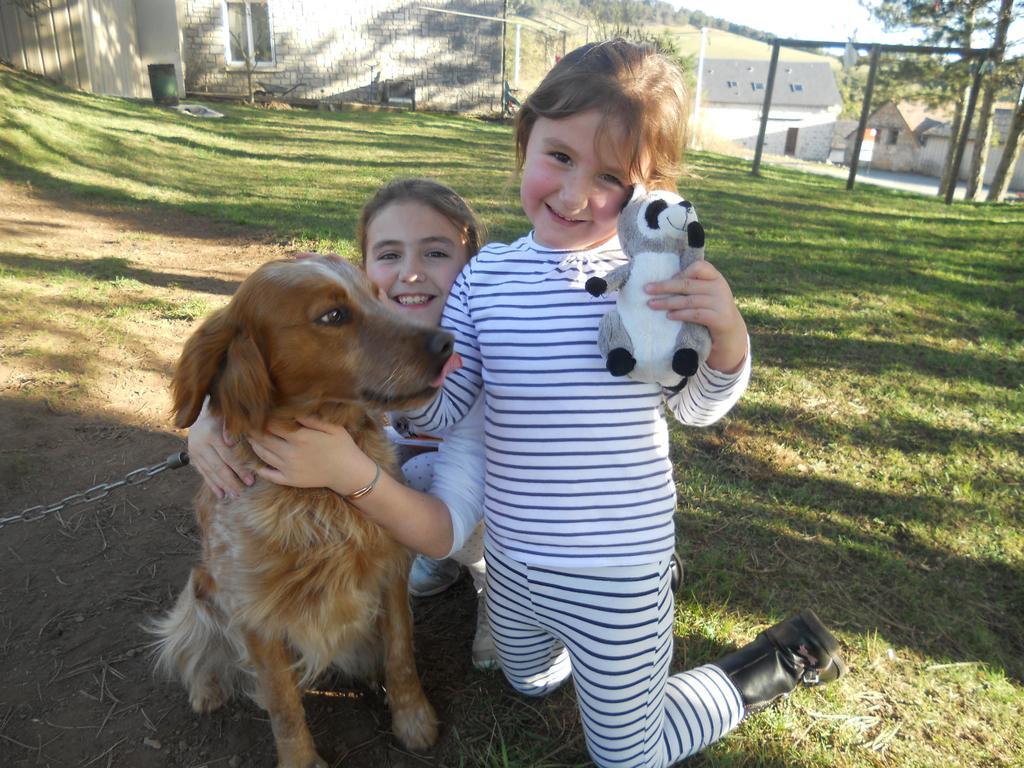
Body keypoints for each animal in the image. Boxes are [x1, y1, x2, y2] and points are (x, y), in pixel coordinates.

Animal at [152, 259, 452, 768]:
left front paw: (413, 719)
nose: (447, 342)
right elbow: (282, 702)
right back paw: (206, 689)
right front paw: (301, 759)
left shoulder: (391, 571)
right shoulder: (255, 611)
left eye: (376, 296)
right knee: (192, 641)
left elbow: (401, 655)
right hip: (201, 590)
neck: (316, 496)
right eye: (333, 316)